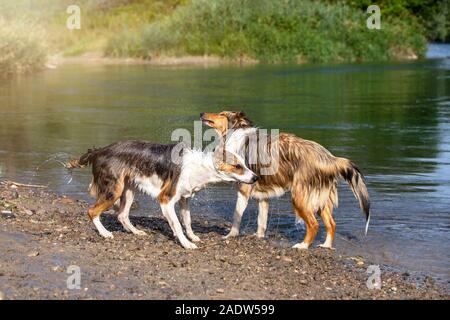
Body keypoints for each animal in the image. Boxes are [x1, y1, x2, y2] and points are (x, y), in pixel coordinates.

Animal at [65, 139, 258, 249]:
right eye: (237, 166)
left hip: (129, 190)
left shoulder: (184, 199)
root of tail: (100, 150)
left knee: (122, 215)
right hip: (115, 190)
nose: (255, 177)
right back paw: (105, 233)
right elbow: (177, 225)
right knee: (92, 211)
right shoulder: (166, 200)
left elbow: (187, 222)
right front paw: (186, 244)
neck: (201, 167)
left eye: (244, 164)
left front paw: (192, 237)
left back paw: (136, 232)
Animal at [200, 111, 370, 249]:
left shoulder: (244, 188)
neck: (235, 133)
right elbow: (262, 220)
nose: (202, 113)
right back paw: (326, 246)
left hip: (299, 198)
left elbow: (237, 217)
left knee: (314, 224)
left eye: (222, 114)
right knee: (331, 224)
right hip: (320, 199)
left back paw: (303, 246)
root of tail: (329, 157)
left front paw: (230, 235)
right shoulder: (263, 196)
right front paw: (258, 237)